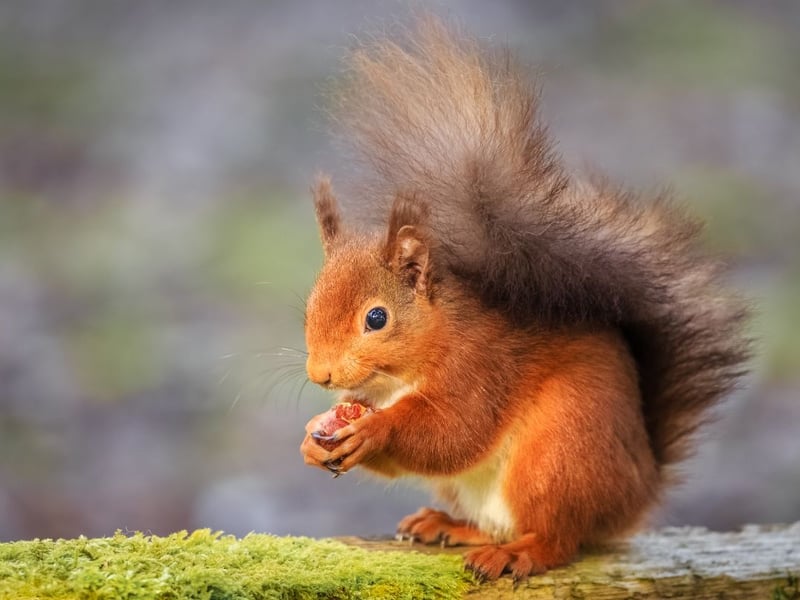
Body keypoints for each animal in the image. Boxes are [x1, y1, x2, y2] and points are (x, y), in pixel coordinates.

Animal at [298, 16, 750, 581]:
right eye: (309, 307)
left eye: (376, 318)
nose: (320, 375)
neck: (404, 373)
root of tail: (636, 491)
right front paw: (315, 437)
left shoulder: (482, 367)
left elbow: (454, 433)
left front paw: (374, 430)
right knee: (496, 525)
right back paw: (449, 526)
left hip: (556, 456)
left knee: (557, 539)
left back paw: (518, 553)